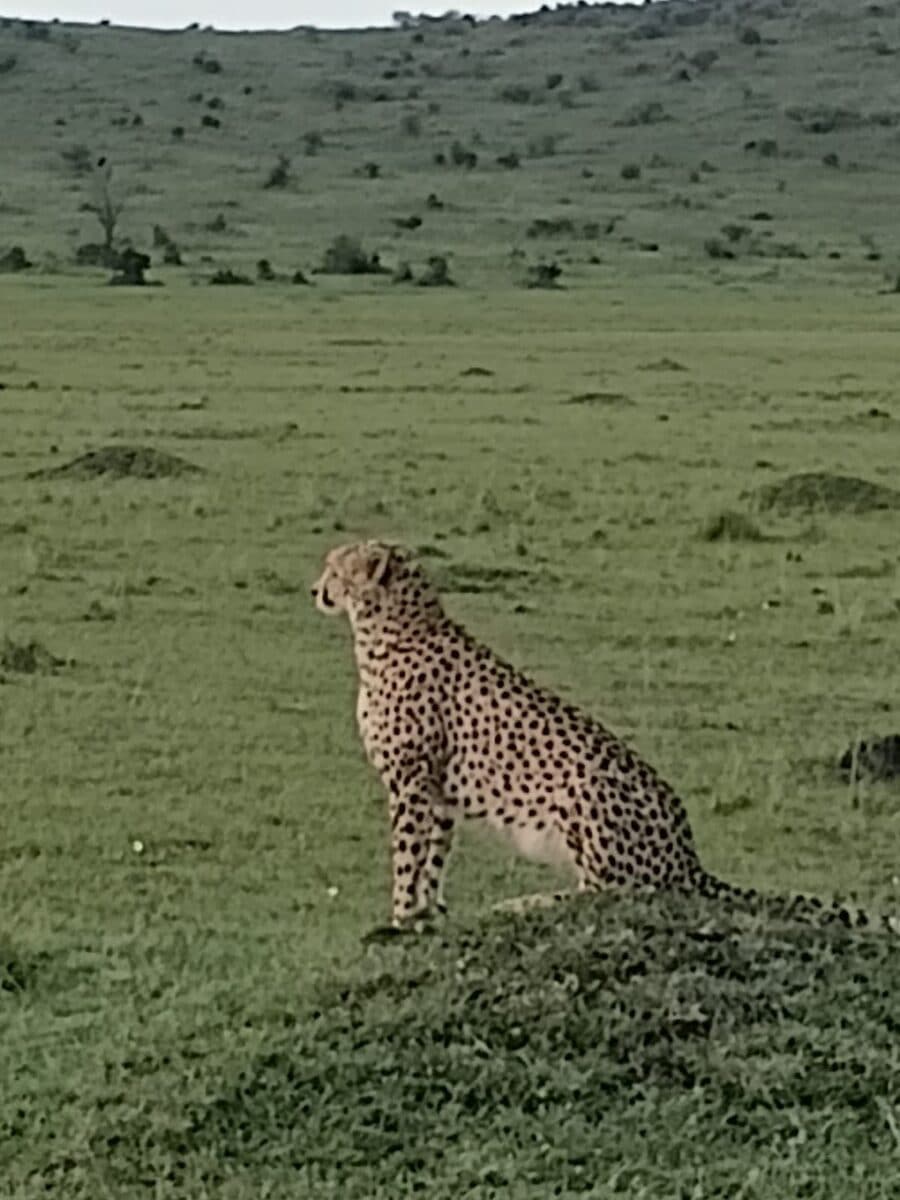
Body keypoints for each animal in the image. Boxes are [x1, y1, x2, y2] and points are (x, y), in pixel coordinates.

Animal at [312, 539, 896, 938]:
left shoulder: (411, 783)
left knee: (609, 895)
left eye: (336, 567)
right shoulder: (435, 789)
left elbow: (407, 855)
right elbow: (432, 857)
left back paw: (523, 904)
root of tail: (688, 853)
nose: (315, 589)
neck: (389, 630)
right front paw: (426, 913)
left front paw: (398, 916)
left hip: (587, 788)